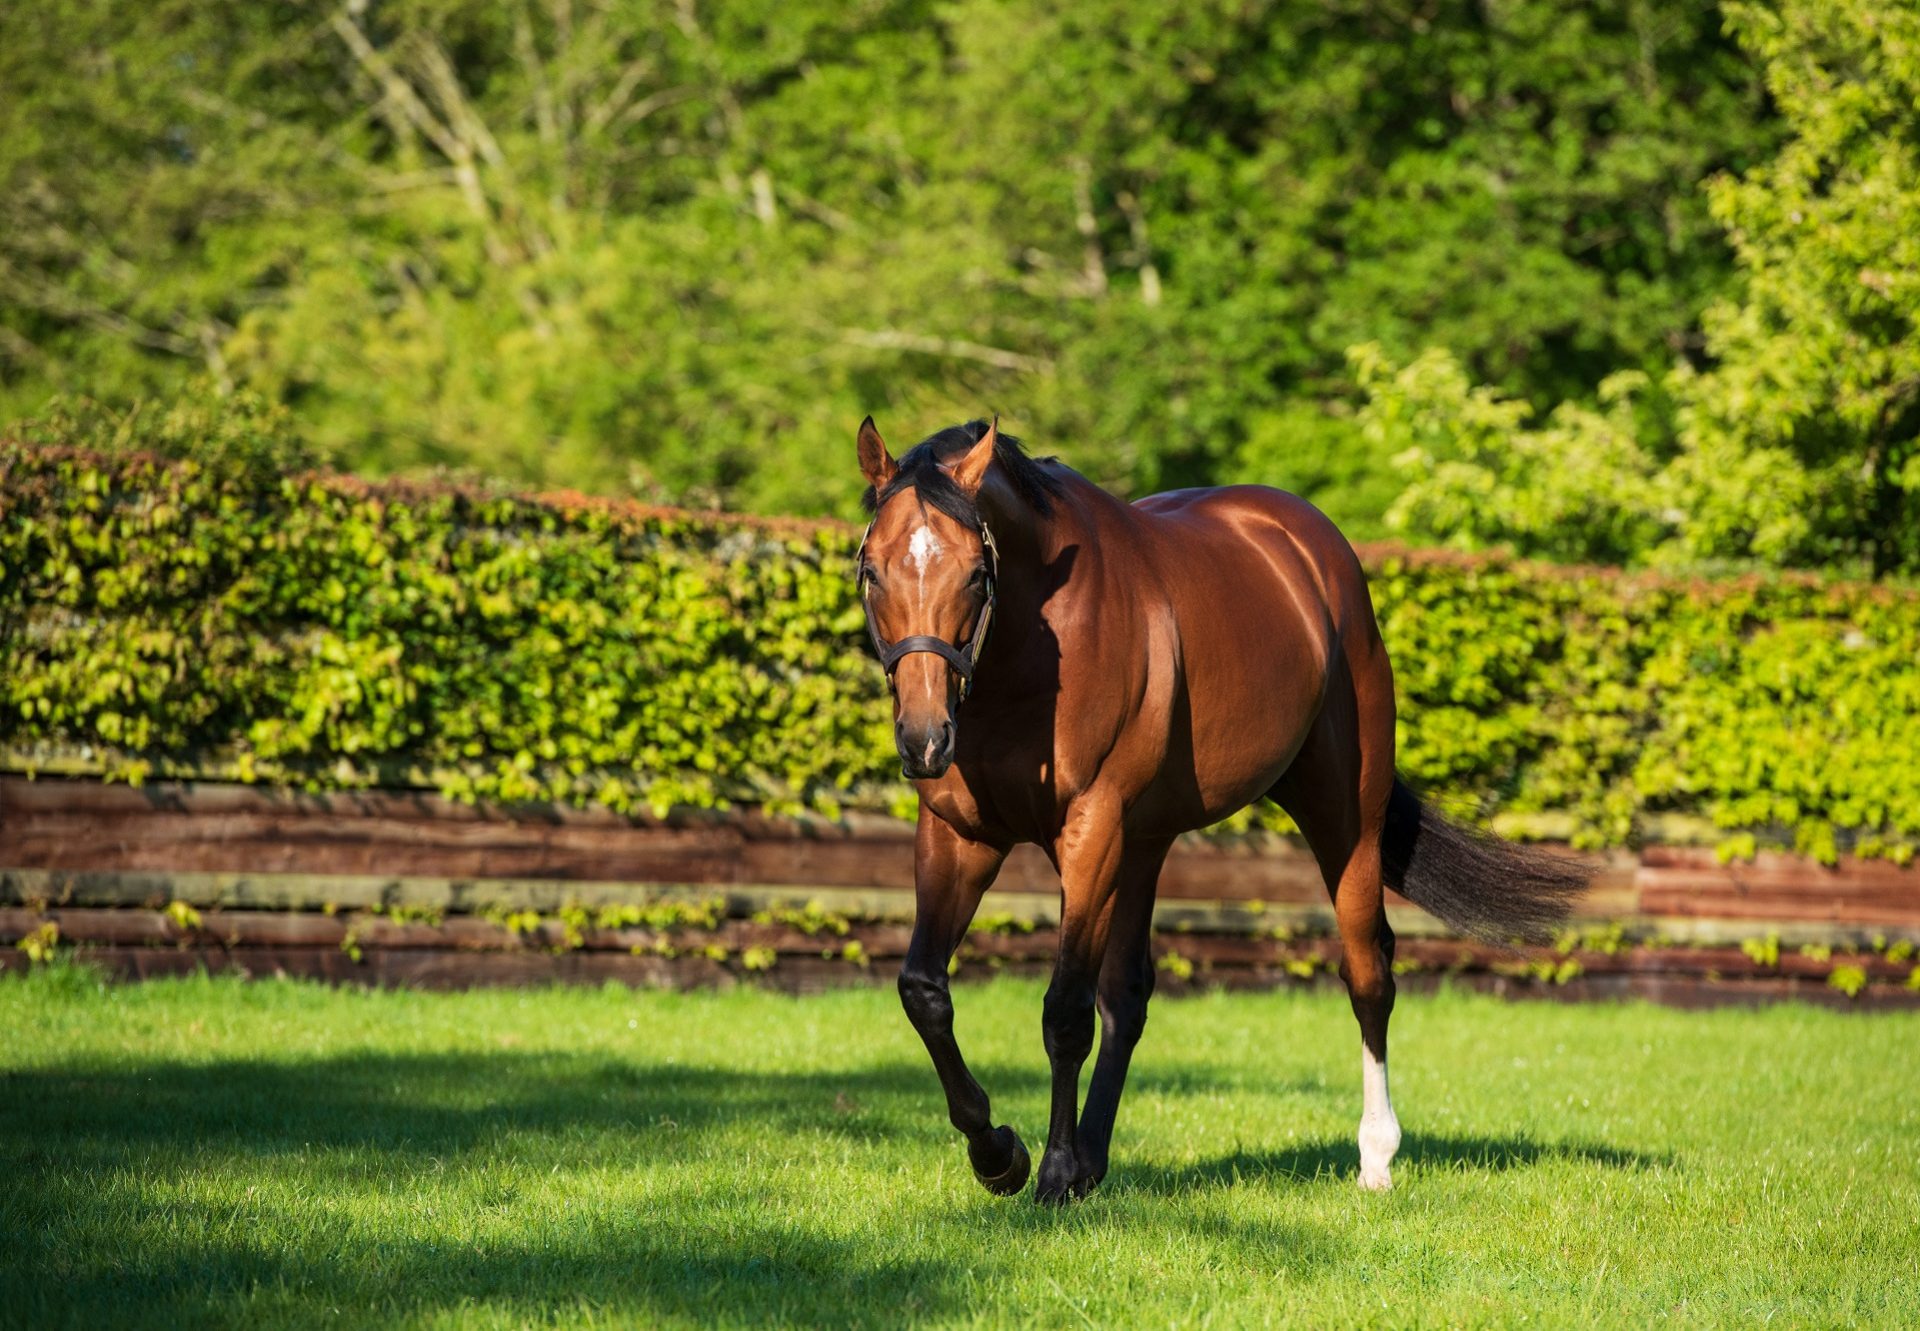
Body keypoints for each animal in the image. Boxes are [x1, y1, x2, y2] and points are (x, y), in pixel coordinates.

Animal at [856, 414, 1589, 1206]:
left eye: (974, 572)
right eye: (872, 570)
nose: (925, 738)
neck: (1031, 655)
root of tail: (1315, 552)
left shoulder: (1089, 833)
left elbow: (1064, 1010)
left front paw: (1047, 1173)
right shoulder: (961, 835)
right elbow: (924, 990)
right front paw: (999, 1155)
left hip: (1341, 818)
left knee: (1368, 972)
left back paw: (1375, 1157)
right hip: (1145, 843)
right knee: (1129, 996)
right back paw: (1093, 1161)